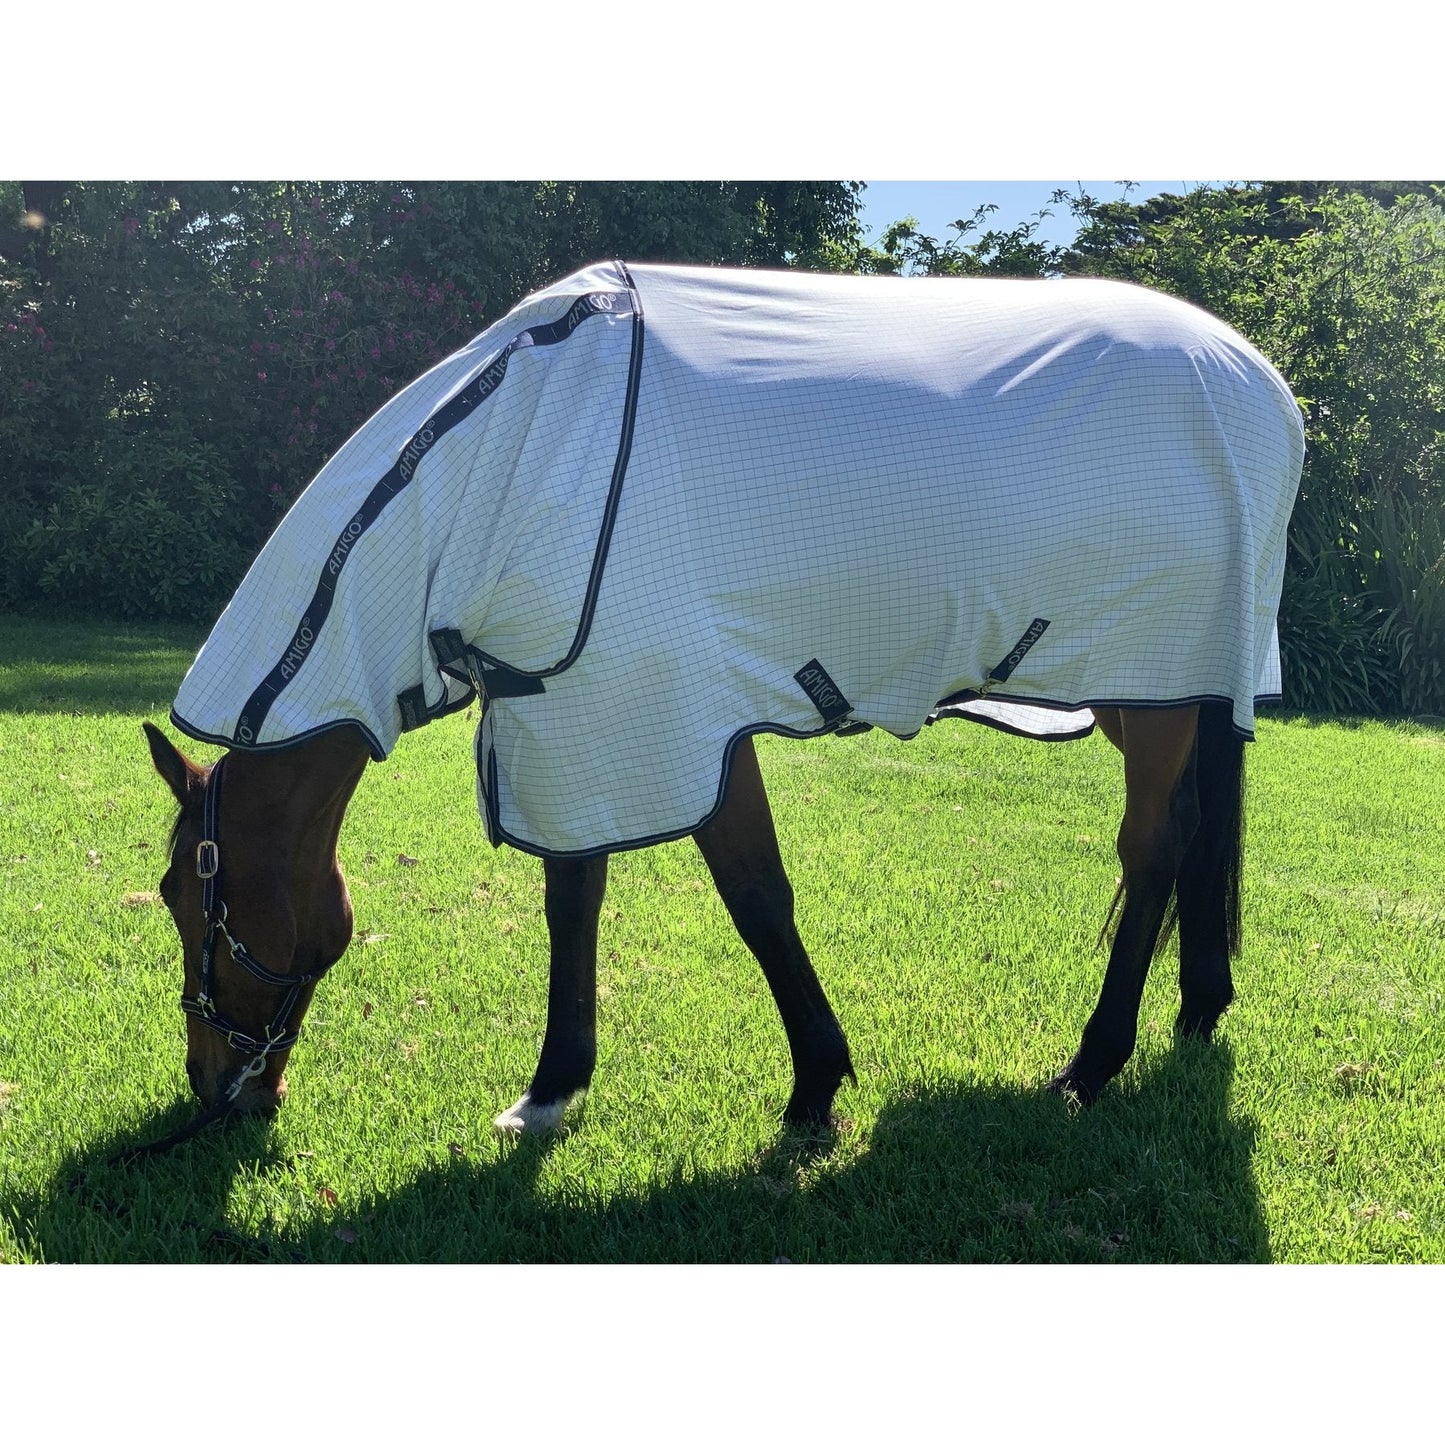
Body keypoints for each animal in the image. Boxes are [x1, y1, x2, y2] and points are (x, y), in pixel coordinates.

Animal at [140, 260, 1306, 1138]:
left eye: (185, 897)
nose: (215, 1088)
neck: (516, 454)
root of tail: (1257, 376)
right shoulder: (576, 719)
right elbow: (574, 898)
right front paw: (552, 1088)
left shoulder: (674, 719)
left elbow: (754, 896)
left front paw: (813, 1086)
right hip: (1160, 687)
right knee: (1191, 835)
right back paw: (1196, 1009)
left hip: (1156, 684)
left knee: (1151, 848)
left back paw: (1089, 1066)